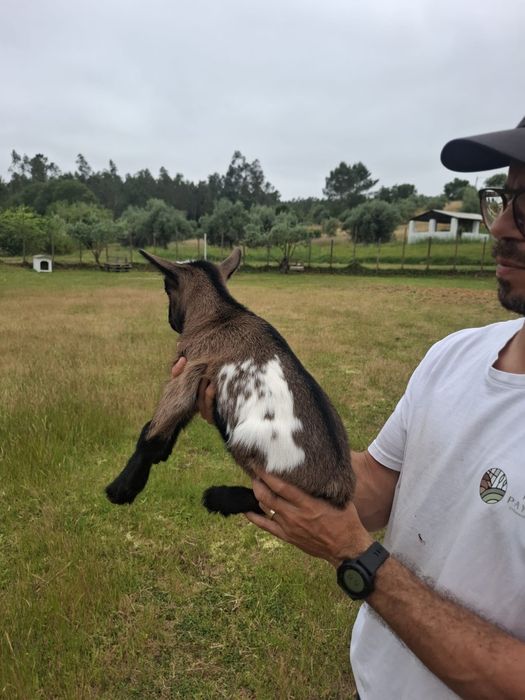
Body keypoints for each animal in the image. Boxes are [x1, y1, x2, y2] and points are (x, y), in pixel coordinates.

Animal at [105, 249, 354, 516]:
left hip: (249, 447)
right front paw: (162, 453)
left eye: (166, 287)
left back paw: (218, 497)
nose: (170, 320)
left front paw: (122, 488)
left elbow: (152, 431)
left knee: (268, 502)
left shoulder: (189, 369)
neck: (219, 315)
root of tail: (338, 488)